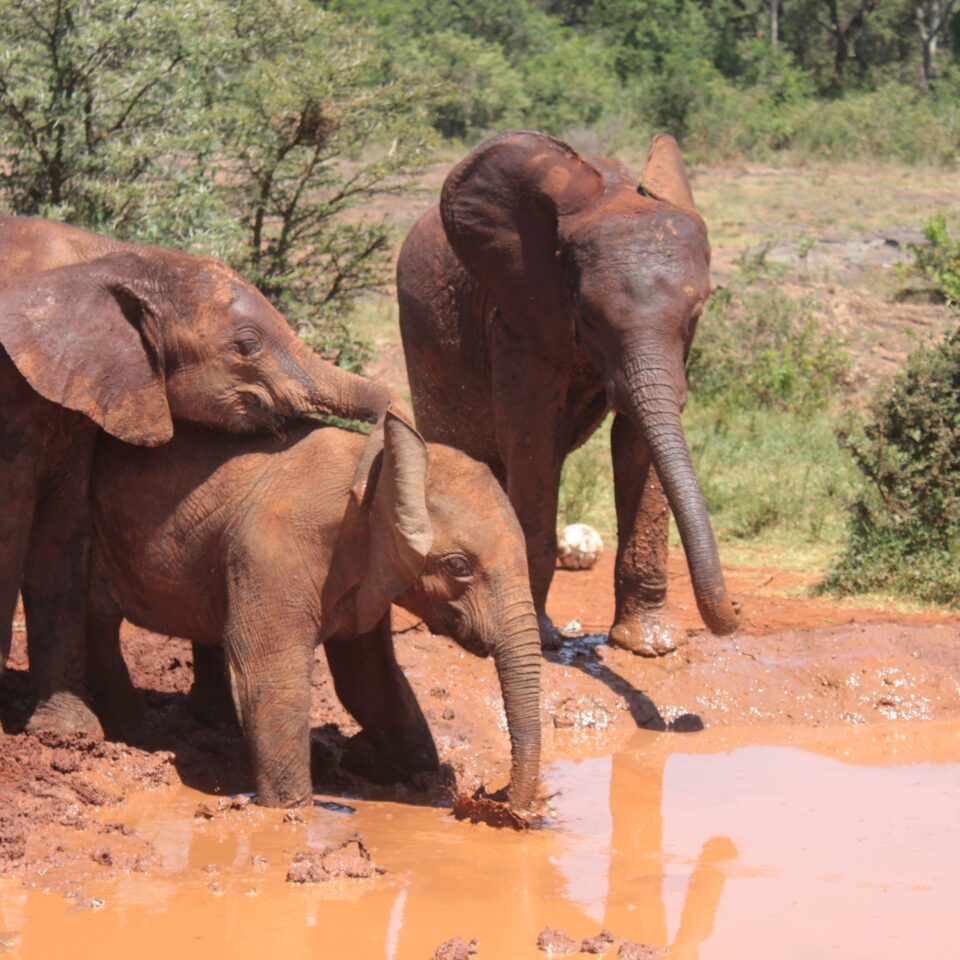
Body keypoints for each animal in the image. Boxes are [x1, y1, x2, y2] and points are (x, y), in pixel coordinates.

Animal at [86, 406, 544, 808]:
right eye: (458, 567)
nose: (494, 799)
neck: (369, 463)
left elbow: (371, 681)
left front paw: (392, 769)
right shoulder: (272, 553)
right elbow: (269, 677)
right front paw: (290, 814)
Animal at [398, 131, 744, 656]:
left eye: (696, 315)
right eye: (590, 319)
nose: (737, 613)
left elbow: (638, 439)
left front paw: (651, 645)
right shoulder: (519, 314)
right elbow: (535, 438)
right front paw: (543, 641)